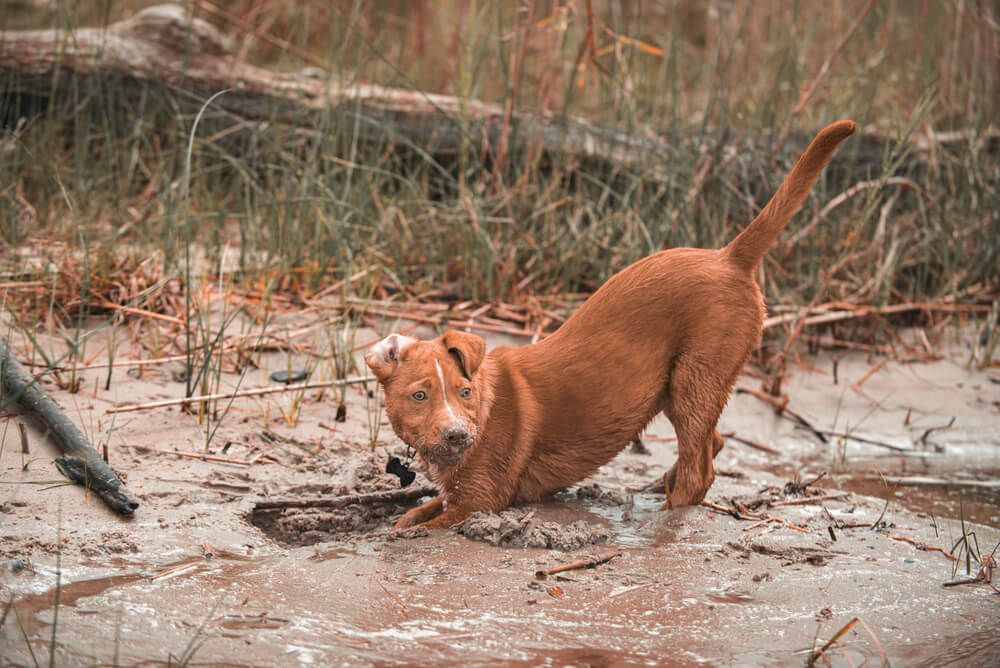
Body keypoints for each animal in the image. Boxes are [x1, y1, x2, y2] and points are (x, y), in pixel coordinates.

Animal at [364, 118, 856, 528]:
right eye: (420, 396)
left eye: (464, 392)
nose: (457, 435)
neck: (485, 404)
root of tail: (729, 257)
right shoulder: (458, 495)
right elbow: (419, 511)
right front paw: (406, 515)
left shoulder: (480, 502)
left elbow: (426, 525)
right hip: (685, 385)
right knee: (710, 446)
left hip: (696, 378)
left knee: (700, 469)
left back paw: (669, 512)